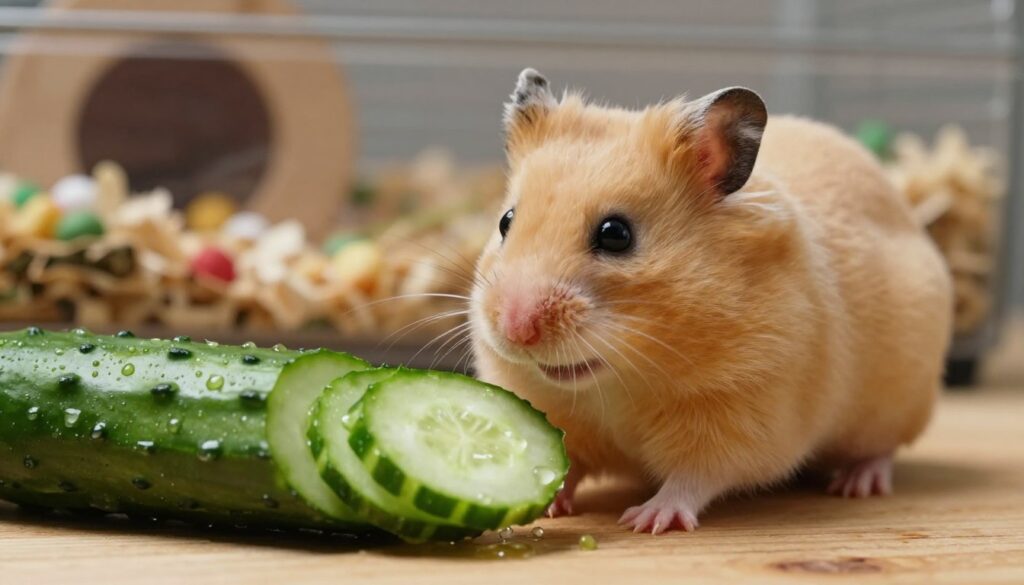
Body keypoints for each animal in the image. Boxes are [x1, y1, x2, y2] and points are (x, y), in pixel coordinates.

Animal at [468, 68, 953, 534]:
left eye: (616, 234)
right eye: (505, 221)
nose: (515, 329)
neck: (621, 382)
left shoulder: (740, 414)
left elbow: (695, 476)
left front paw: (646, 520)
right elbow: (568, 466)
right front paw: (549, 505)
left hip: (895, 404)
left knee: (882, 449)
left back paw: (857, 483)